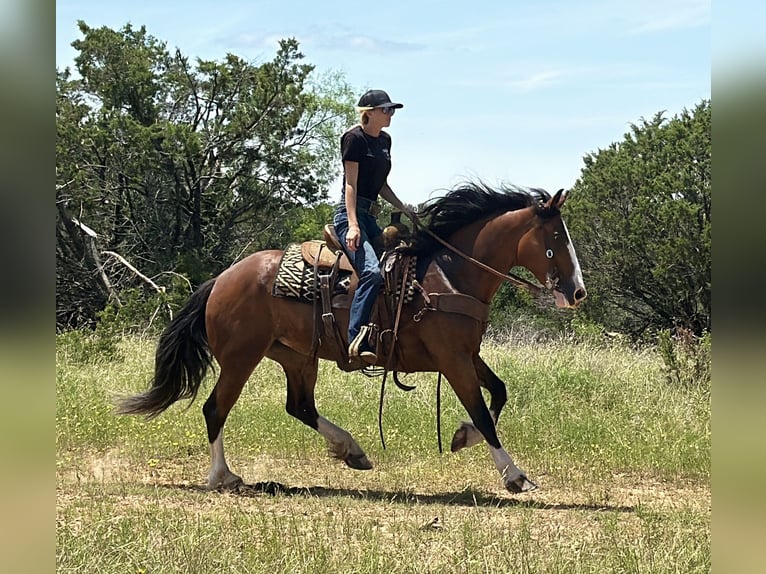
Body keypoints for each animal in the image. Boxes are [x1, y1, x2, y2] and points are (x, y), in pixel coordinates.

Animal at [117, 182, 587, 494]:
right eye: (556, 237)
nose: (578, 292)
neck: (449, 275)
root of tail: (222, 279)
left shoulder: (467, 354)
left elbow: (499, 394)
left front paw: (461, 437)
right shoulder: (453, 359)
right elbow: (485, 414)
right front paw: (515, 475)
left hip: (296, 357)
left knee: (300, 407)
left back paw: (351, 450)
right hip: (240, 357)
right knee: (216, 408)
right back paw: (223, 476)